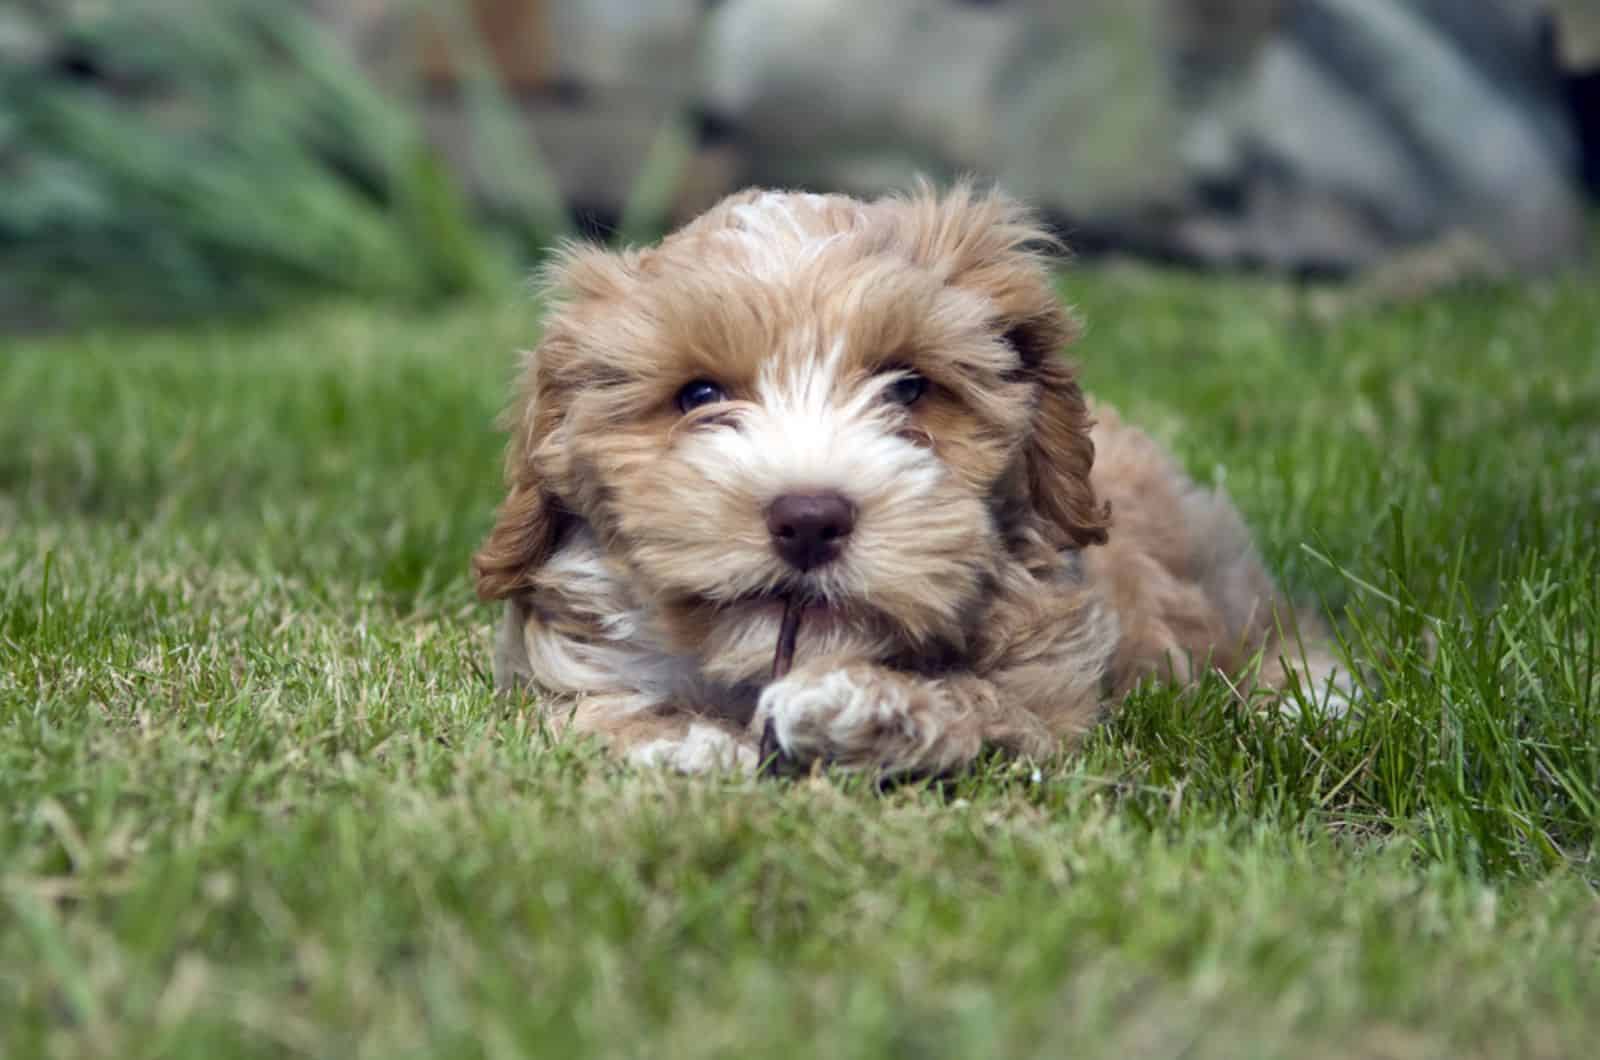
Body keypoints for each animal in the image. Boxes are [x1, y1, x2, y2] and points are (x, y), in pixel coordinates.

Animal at [473, 184, 1350, 781]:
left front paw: (859, 706)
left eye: (908, 388)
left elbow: (987, 703)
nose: (810, 518)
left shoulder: (1053, 687)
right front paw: (679, 738)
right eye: (698, 396)